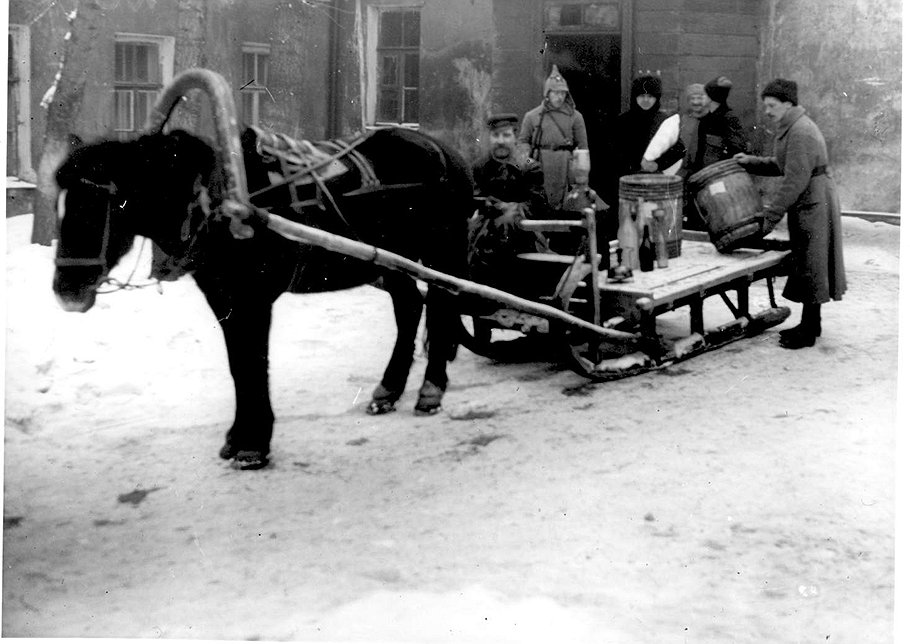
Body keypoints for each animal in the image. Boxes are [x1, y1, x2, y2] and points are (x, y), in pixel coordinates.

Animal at [51, 122, 478, 472]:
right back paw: (388, 391)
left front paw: (254, 445)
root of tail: (446, 150)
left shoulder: (253, 299)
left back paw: (431, 390)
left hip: (443, 252)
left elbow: (254, 364)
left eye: (95, 207)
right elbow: (239, 366)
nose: (65, 292)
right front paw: (237, 437)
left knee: (442, 308)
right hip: (391, 262)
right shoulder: (224, 299)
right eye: (60, 207)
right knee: (410, 309)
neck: (218, 200)